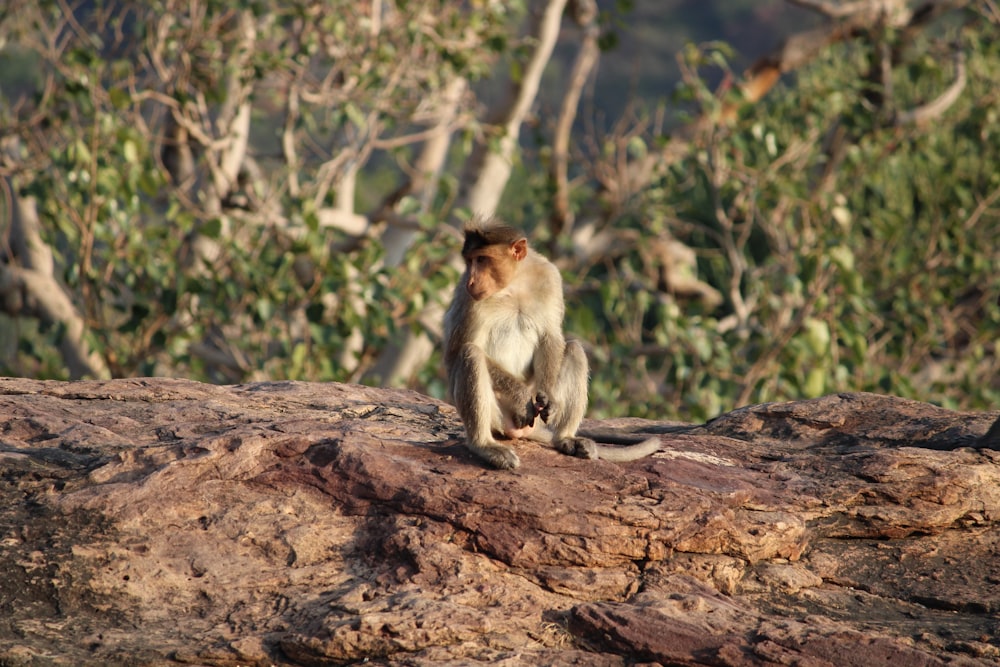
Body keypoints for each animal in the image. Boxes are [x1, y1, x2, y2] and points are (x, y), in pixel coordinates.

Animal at [442, 218, 660, 470]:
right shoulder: (468, 299)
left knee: (575, 349)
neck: (513, 285)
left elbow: (551, 336)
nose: (471, 279)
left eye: (482, 259)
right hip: (497, 417)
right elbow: (457, 352)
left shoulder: (550, 277)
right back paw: (484, 445)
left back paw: (565, 438)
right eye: (469, 261)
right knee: (471, 354)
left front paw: (550, 398)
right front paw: (520, 397)